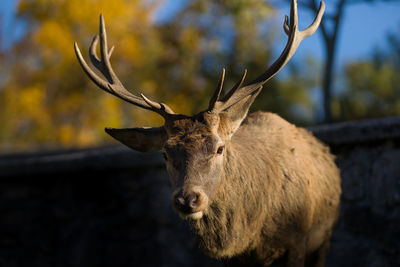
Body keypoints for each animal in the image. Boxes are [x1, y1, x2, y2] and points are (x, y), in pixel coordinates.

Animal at [75, 1, 340, 266]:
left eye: (219, 148)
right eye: (165, 153)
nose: (187, 199)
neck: (252, 235)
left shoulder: (298, 241)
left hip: (324, 240)